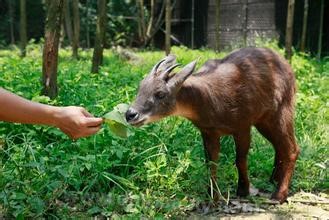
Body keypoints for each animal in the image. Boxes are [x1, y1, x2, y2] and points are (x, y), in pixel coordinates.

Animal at [125, 47, 300, 203]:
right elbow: (211, 164)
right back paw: (273, 180)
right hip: (263, 121)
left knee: (292, 149)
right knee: (280, 147)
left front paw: (243, 190)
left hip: (281, 111)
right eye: (140, 87)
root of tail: (287, 66)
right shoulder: (209, 132)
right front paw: (213, 196)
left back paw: (279, 195)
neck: (209, 100)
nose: (130, 114)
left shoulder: (242, 127)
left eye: (160, 94)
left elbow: (240, 160)